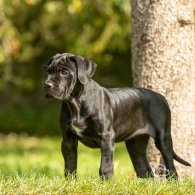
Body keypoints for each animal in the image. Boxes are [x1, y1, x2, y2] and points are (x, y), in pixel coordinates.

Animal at [44, 52, 190, 180]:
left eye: (65, 72)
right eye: (48, 71)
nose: (47, 85)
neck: (75, 103)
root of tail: (162, 97)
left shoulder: (106, 137)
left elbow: (105, 165)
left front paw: (106, 183)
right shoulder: (68, 140)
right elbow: (70, 165)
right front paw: (70, 183)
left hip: (163, 138)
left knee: (171, 167)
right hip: (135, 145)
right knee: (144, 170)